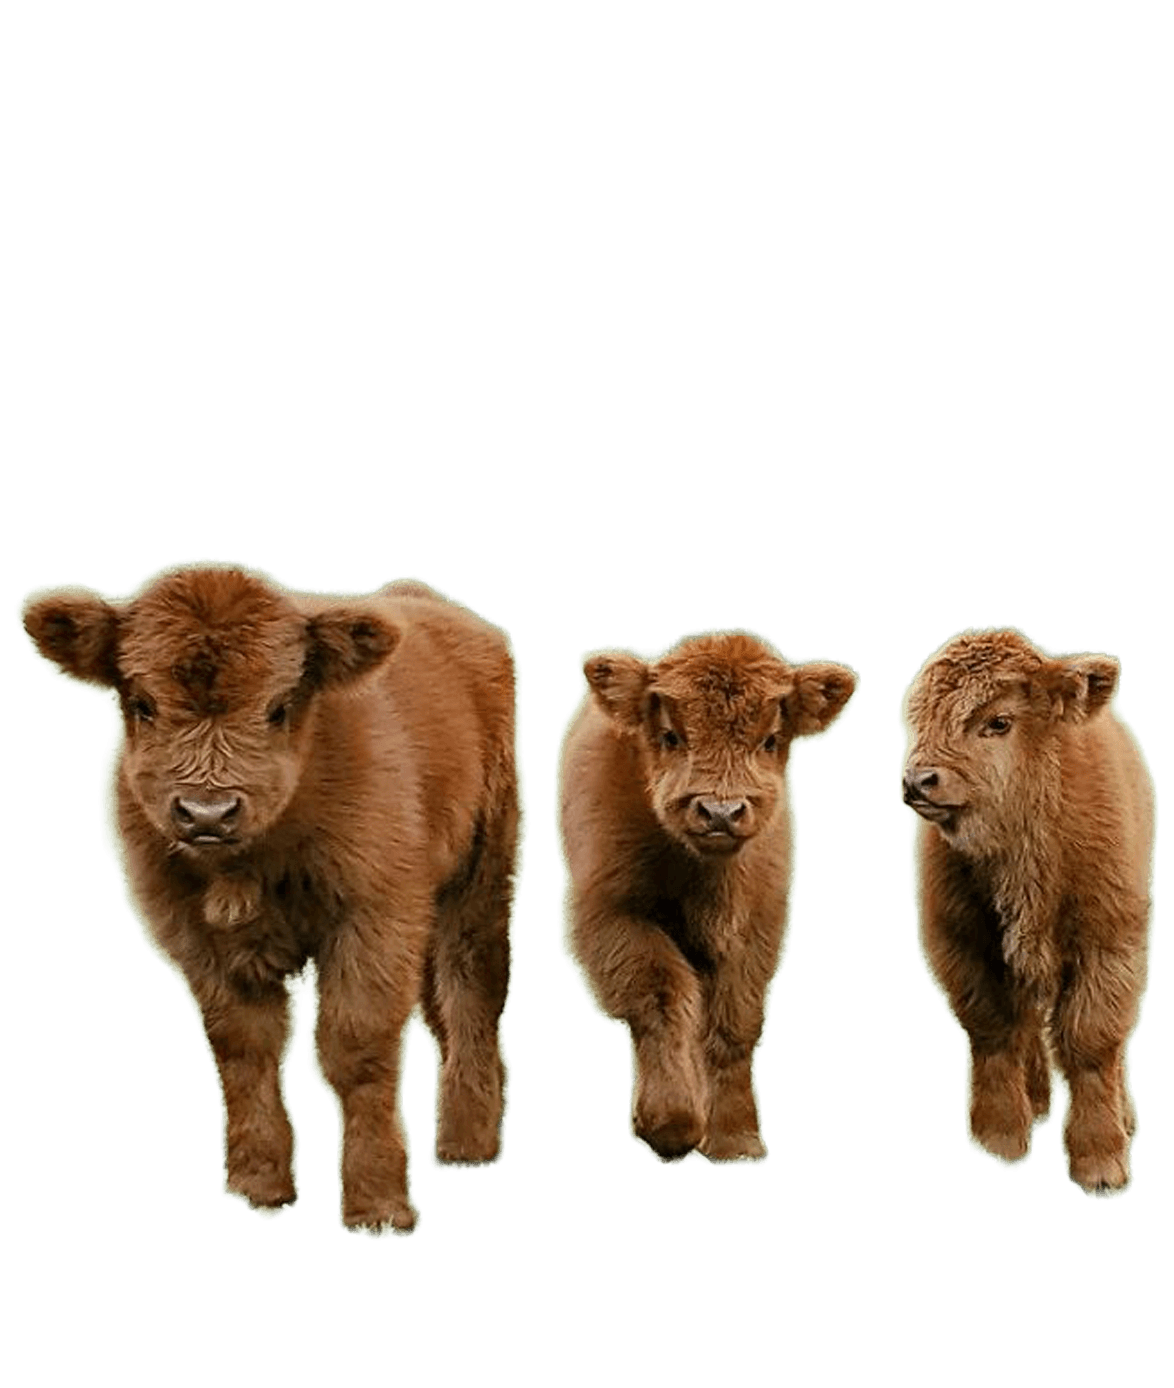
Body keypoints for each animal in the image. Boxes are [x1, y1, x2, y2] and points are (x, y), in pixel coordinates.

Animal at [20, 563, 524, 1237]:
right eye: (143, 704)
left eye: (280, 706)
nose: (208, 811)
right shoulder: (199, 939)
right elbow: (243, 1047)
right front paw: (259, 1185)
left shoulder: (374, 916)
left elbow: (356, 1048)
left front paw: (379, 1205)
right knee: (441, 1005)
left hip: (479, 873)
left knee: (472, 989)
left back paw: (469, 1142)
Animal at [556, 630, 857, 1163]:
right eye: (671, 736)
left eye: (770, 740)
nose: (720, 812)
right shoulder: (611, 912)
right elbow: (661, 994)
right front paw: (671, 1124)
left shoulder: (757, 925)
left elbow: (735, 1022)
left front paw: (737, 1139)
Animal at [900, 627, 1157, 1196]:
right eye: (919, 715)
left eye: (999, 721)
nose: (918, 781)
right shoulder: (965, 944)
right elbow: (995, 1030)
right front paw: (1000, 1137)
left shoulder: (1108, 944)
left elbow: (1091, 1043)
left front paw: (1101, 1163)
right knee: (1026, 1025)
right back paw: (1035, 1102)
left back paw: (1124, 1115)